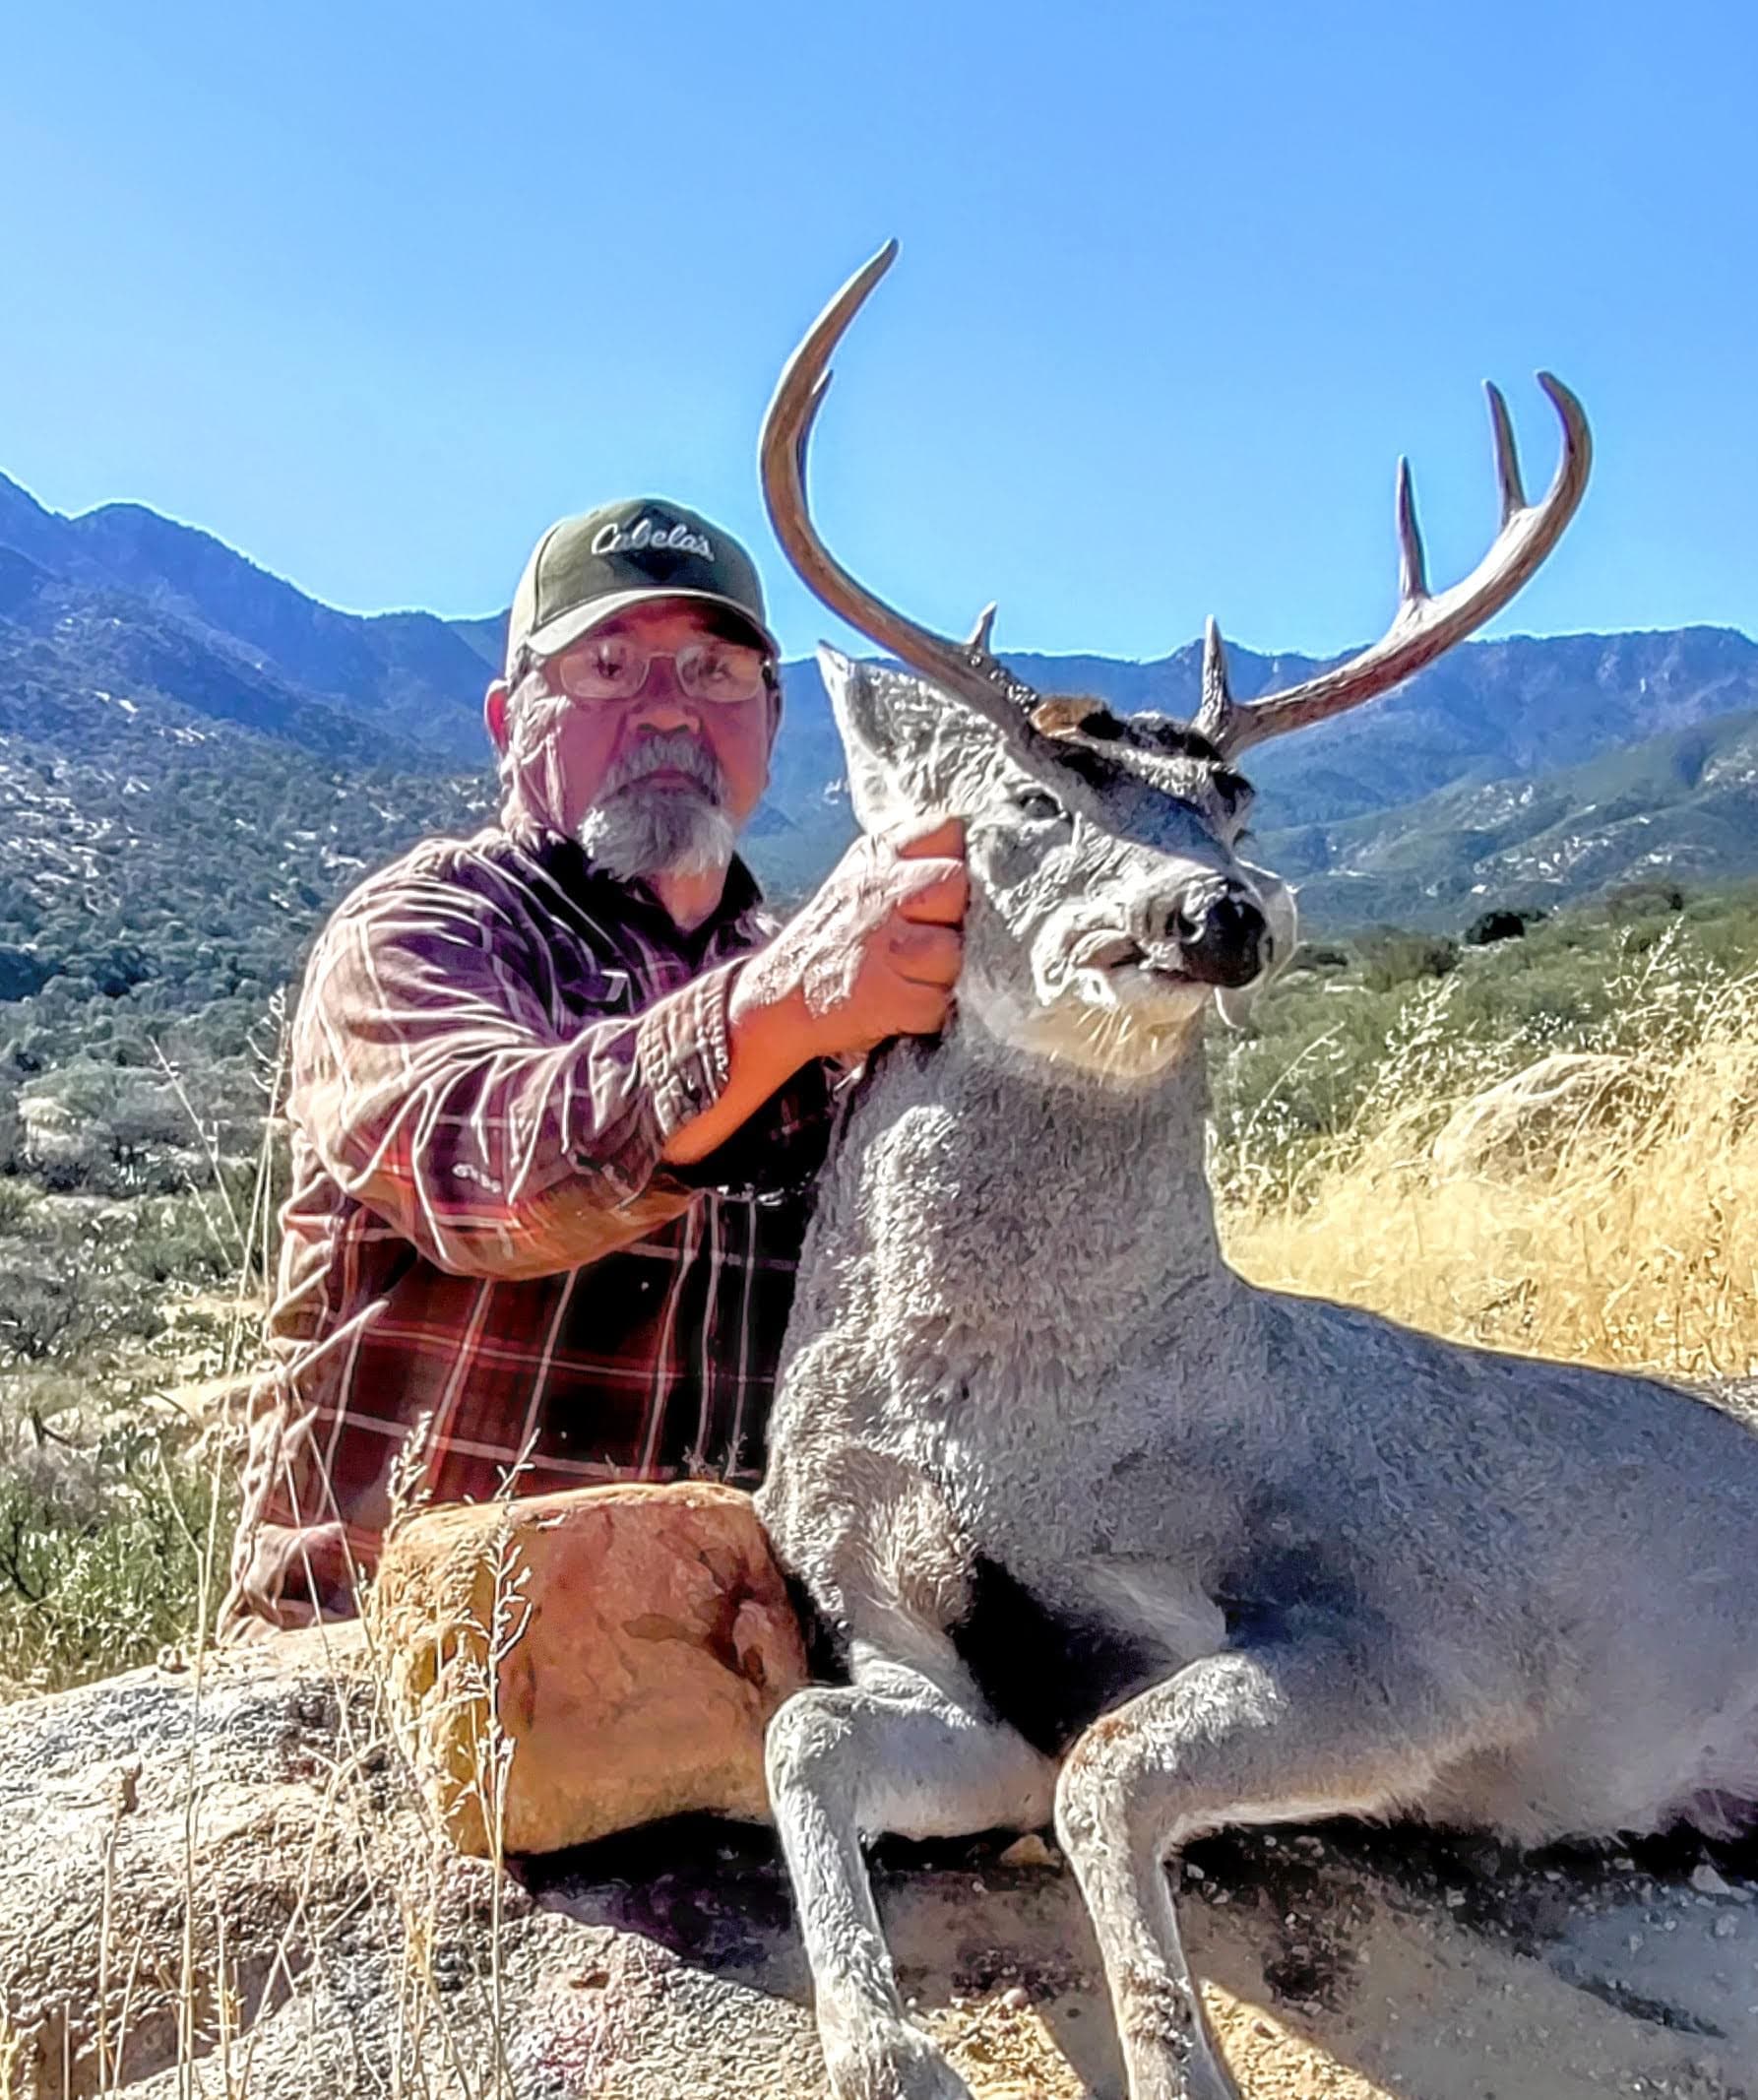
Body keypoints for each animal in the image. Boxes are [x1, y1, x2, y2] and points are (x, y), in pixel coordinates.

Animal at [750, 244, 1758, 2100]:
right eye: (1026, 794)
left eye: (1232, 794)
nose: (1225, 912)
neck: (1011, 1423)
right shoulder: (924, 1655)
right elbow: (809, 1727)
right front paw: (879, 2046)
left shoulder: (1422, 1631)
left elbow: (1109, 1774)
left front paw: (1175, 2067)